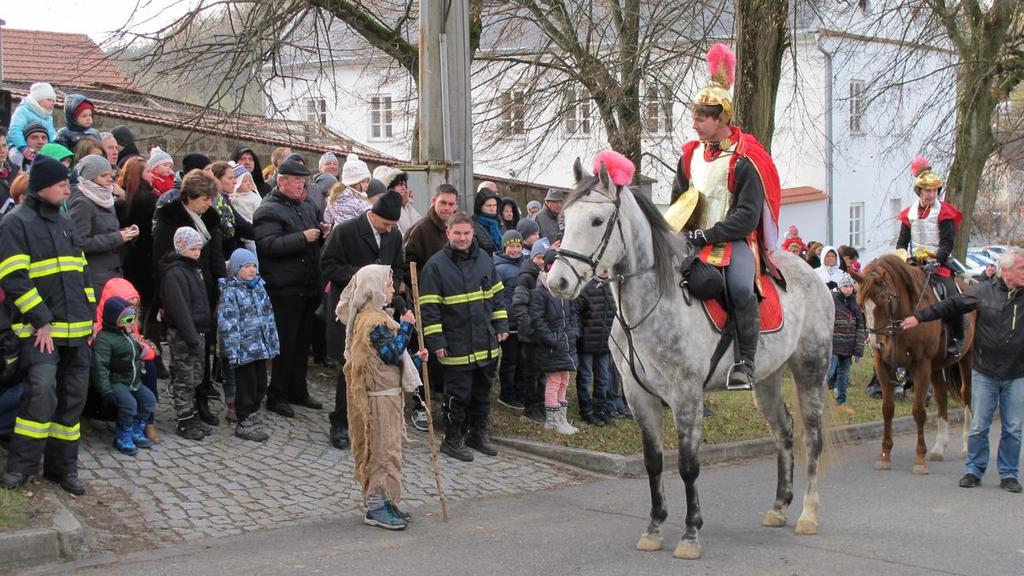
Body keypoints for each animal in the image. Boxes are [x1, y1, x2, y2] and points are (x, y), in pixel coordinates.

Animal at [548, 155, 835, 557]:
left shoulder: (686, 393)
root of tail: (812, 274)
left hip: (811, 368)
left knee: (811, 436)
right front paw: (654, 528)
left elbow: (687, 464)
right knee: (783, 431)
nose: (557, 282)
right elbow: (654, 462)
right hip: (766, 379)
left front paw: (690, 533)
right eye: (564, 219)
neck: (652, 302)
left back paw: (808, 514)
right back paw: (779, 507)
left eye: (597, 221)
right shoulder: (638, 394)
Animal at [851, 254, 970, 471]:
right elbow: (887, 408)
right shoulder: (883, 365)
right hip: (936, 367)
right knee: (941, 397)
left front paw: (920, 458)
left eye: (884, 301)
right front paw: (885, 455)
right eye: (861, 304)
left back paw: (967, 445)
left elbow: (919, 411)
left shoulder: (921, 364)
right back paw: (939, 448)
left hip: (967, 358)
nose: (876, 344)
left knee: (967, 395)